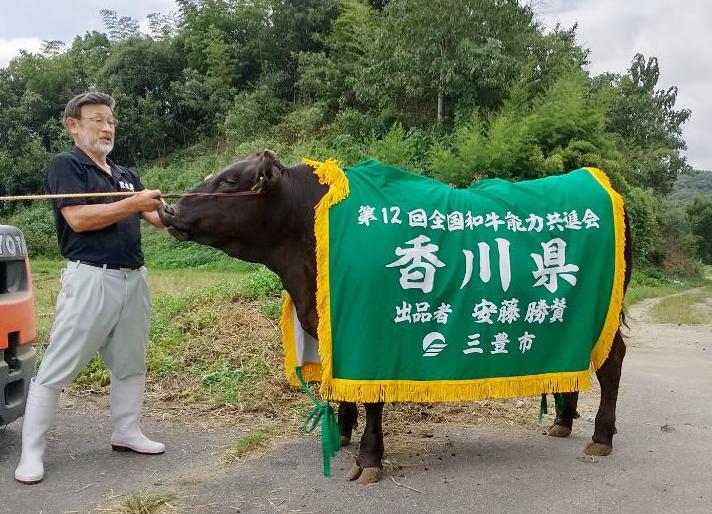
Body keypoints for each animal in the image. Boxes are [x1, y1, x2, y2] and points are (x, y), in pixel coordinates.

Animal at [159, 150, 632, 482]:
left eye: (229, 180)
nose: (168, 209)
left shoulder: (371, 328)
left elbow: (371, 398)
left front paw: (369, 458)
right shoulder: (335, 327)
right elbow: (343, 390)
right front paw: (341, 433)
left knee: (611, 363)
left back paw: (600, 437)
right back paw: (562, 422)